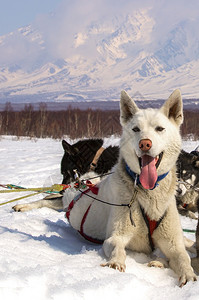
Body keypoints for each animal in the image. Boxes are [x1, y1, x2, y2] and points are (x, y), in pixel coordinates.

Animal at [13, 89, 196, 286]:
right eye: (135, 129)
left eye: (159, 129)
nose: (145, 143)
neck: (148, 195)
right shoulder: (115, 237)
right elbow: (117, 248)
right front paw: (115, 263)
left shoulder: (173, 244)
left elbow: (183, 258)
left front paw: (189, 275)